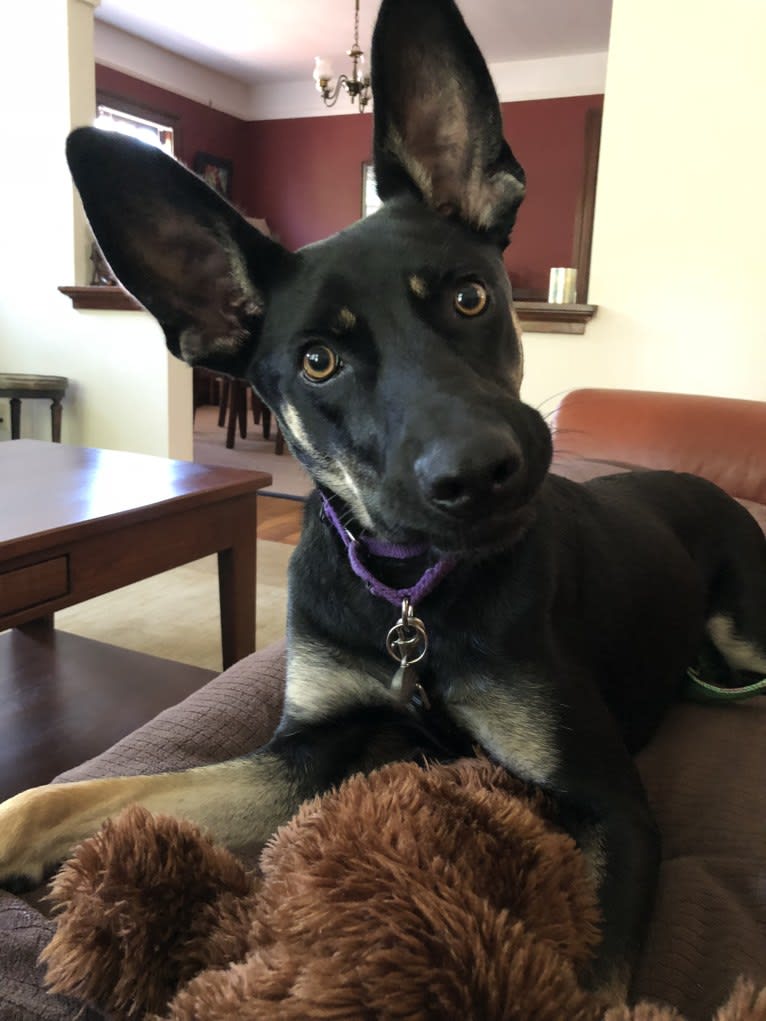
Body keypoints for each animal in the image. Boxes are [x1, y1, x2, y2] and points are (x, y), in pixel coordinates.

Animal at [1, 0, 766, 996]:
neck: (410, 592)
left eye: (472, 297)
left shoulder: (615, 807)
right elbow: (89, 793)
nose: (479, 473)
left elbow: (593, 991)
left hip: (745, 629)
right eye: (319, 359)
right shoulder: (311, 746)